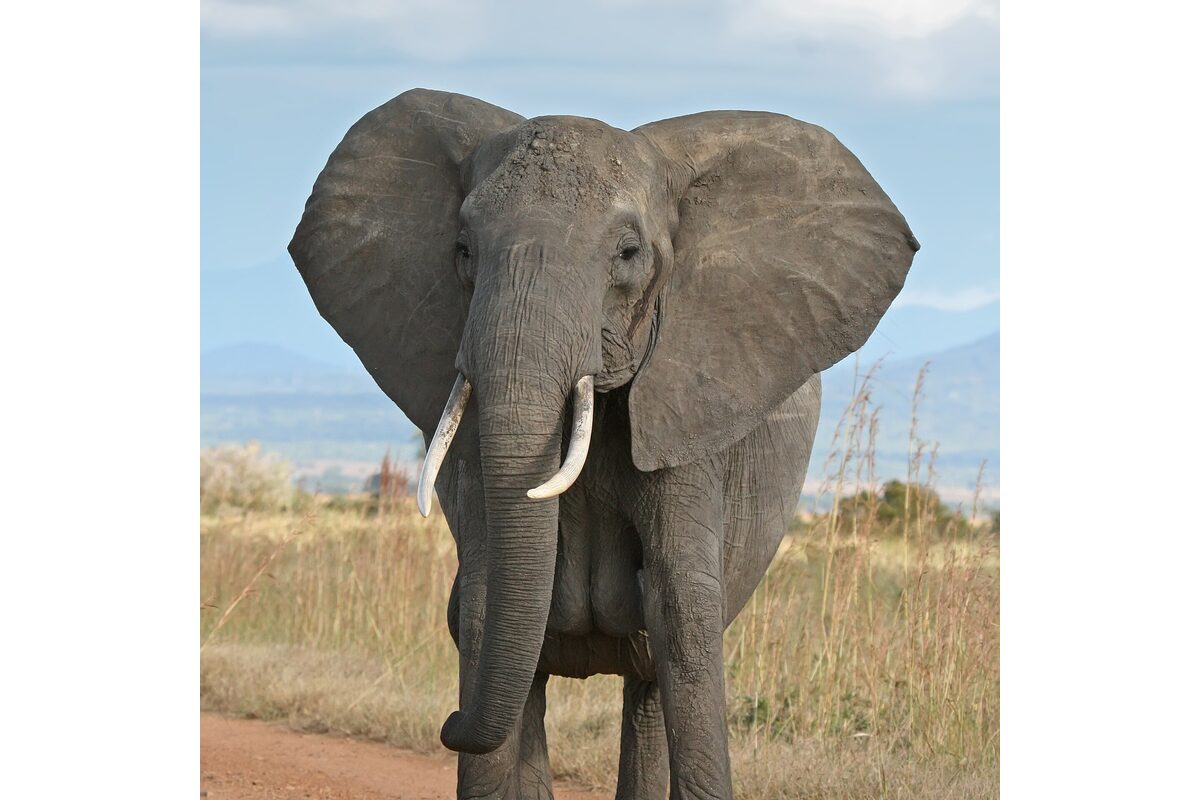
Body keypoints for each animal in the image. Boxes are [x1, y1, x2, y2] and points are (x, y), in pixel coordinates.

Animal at [288, 89, 918, 799]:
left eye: (628, 253)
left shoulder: (690, 408)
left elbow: (683, 610)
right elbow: (484, 597)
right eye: (463, 249)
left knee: (647, 679)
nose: (447, 723)